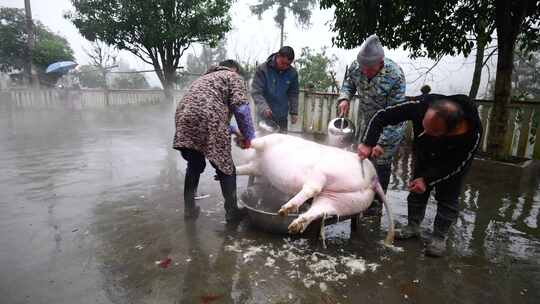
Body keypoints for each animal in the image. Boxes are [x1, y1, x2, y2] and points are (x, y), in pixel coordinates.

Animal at [237, 134, 396, 246]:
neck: (259, 159)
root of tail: (374, 178)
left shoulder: (270, 140)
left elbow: (257, 141)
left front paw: (239, 139)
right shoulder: (257, 168)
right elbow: (243, 169)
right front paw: (236, 168)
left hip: (325, 171)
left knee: (312, 188)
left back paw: (285, 210)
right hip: (345, 200)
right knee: (317, 209)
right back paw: (293, 225)